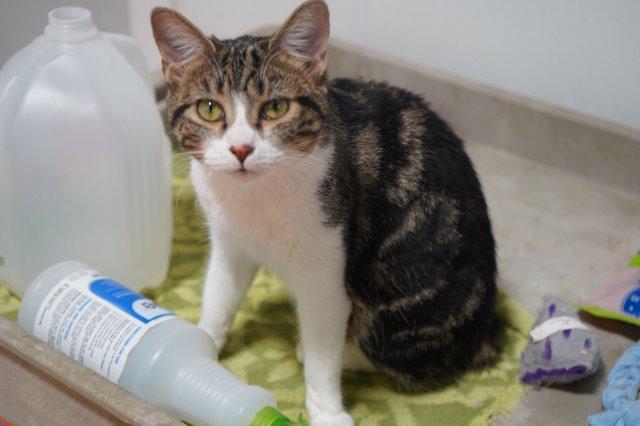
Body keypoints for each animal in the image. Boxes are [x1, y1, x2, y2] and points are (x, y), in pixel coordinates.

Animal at [152, 1, 502, 424]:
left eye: (276, 107)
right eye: (208, 108)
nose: (241, 149)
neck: (256, 199)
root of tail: (484, 329)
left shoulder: (325, 274)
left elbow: (324, 355)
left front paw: (326, 411)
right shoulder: (229, 245)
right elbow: (219, 298)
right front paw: (201, 343)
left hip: (398, 287)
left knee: (404, 359)